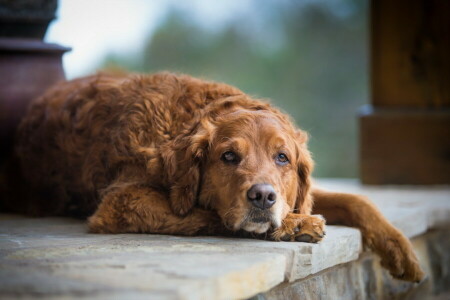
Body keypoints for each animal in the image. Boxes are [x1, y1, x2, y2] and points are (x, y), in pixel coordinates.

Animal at [5, 72, 424, 282]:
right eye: (228, 157)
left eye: (282, 158)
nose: (263, 197)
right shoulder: (121, 201)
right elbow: (207, 215)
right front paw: (295, 224)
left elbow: (356, 199)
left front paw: (400, 249)